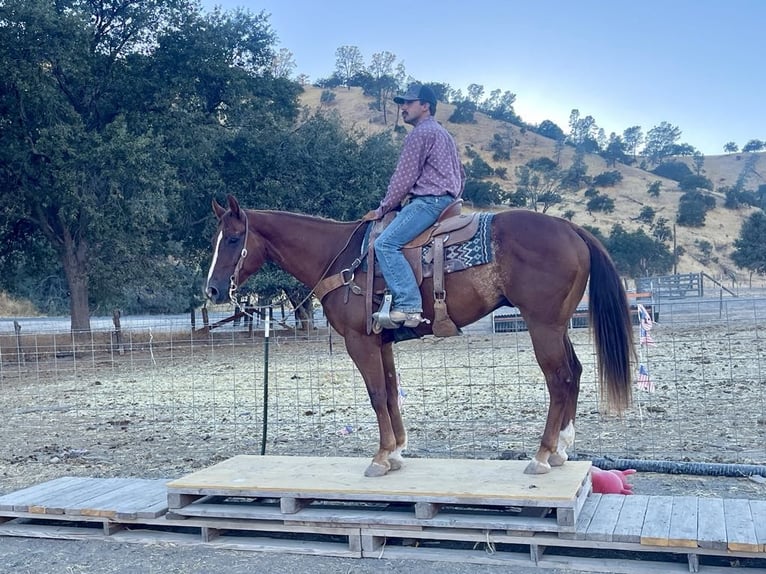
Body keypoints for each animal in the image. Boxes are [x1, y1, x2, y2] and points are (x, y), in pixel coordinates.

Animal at [204, 196, 636, 480]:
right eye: (216, 239)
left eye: (233, 239)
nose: (212, 290)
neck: (341, 257)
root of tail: (570, 227)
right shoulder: (381, 342)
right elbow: (392, 393)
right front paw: (396, 451)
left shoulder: (359, 341)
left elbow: (377, 394)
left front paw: (380, 457)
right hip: (558, 325)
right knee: (575, 373)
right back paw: (562, 448)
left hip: (542, 325)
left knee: (559, 379)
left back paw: (543, 455)